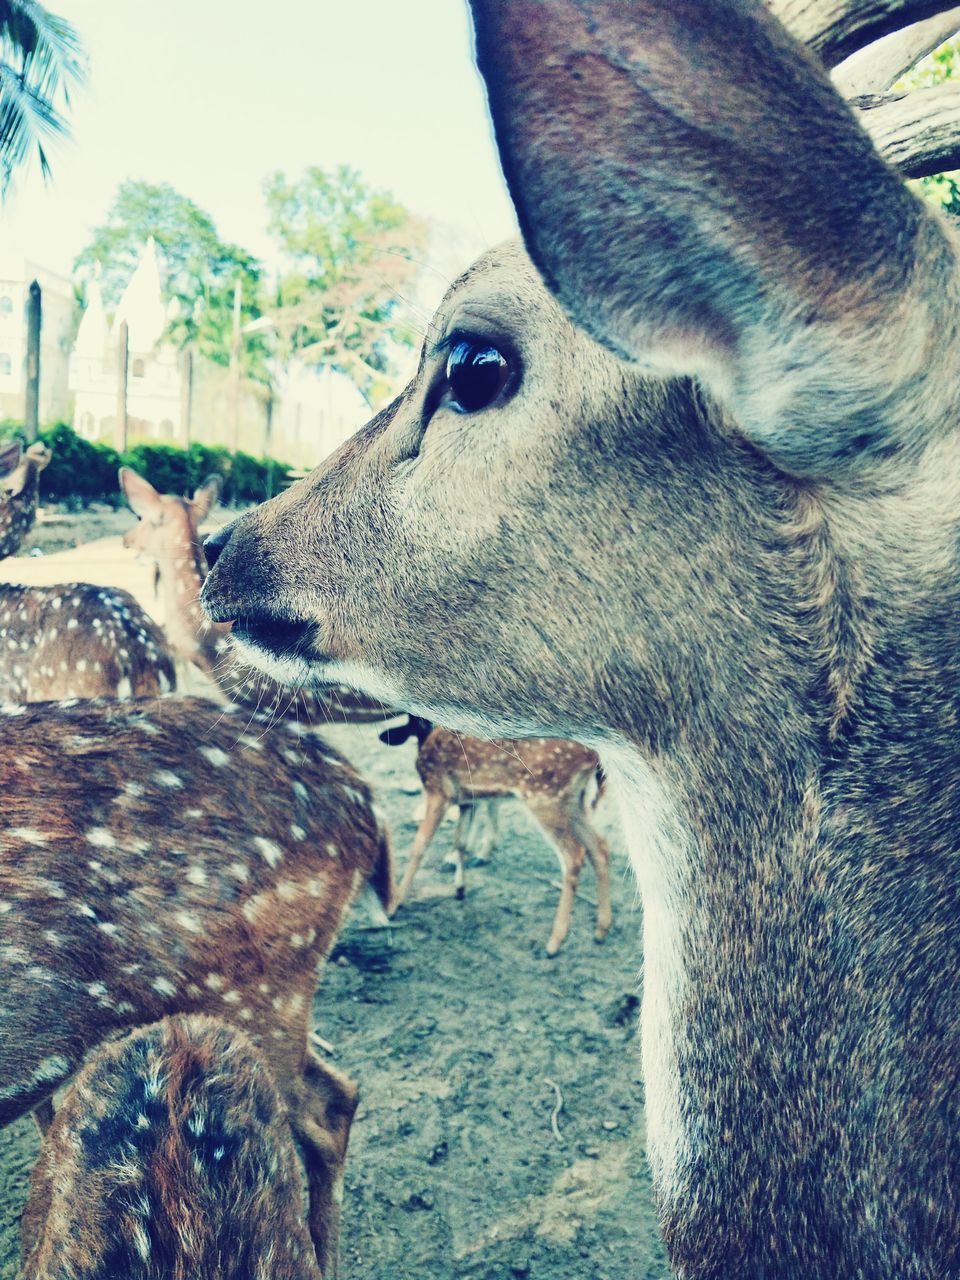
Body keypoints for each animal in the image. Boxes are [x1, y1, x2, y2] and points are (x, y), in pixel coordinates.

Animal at [381, 716, 611, 957]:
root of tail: (594, 757)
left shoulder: (439, 791)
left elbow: (419, 845)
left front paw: (394, 904)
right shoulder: (467, 799)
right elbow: (461, 842)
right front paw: (460, 888)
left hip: (545, 795)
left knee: (574, 855)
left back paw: (554, 942)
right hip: (574, 801)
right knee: (600, 847)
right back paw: (601, 930)